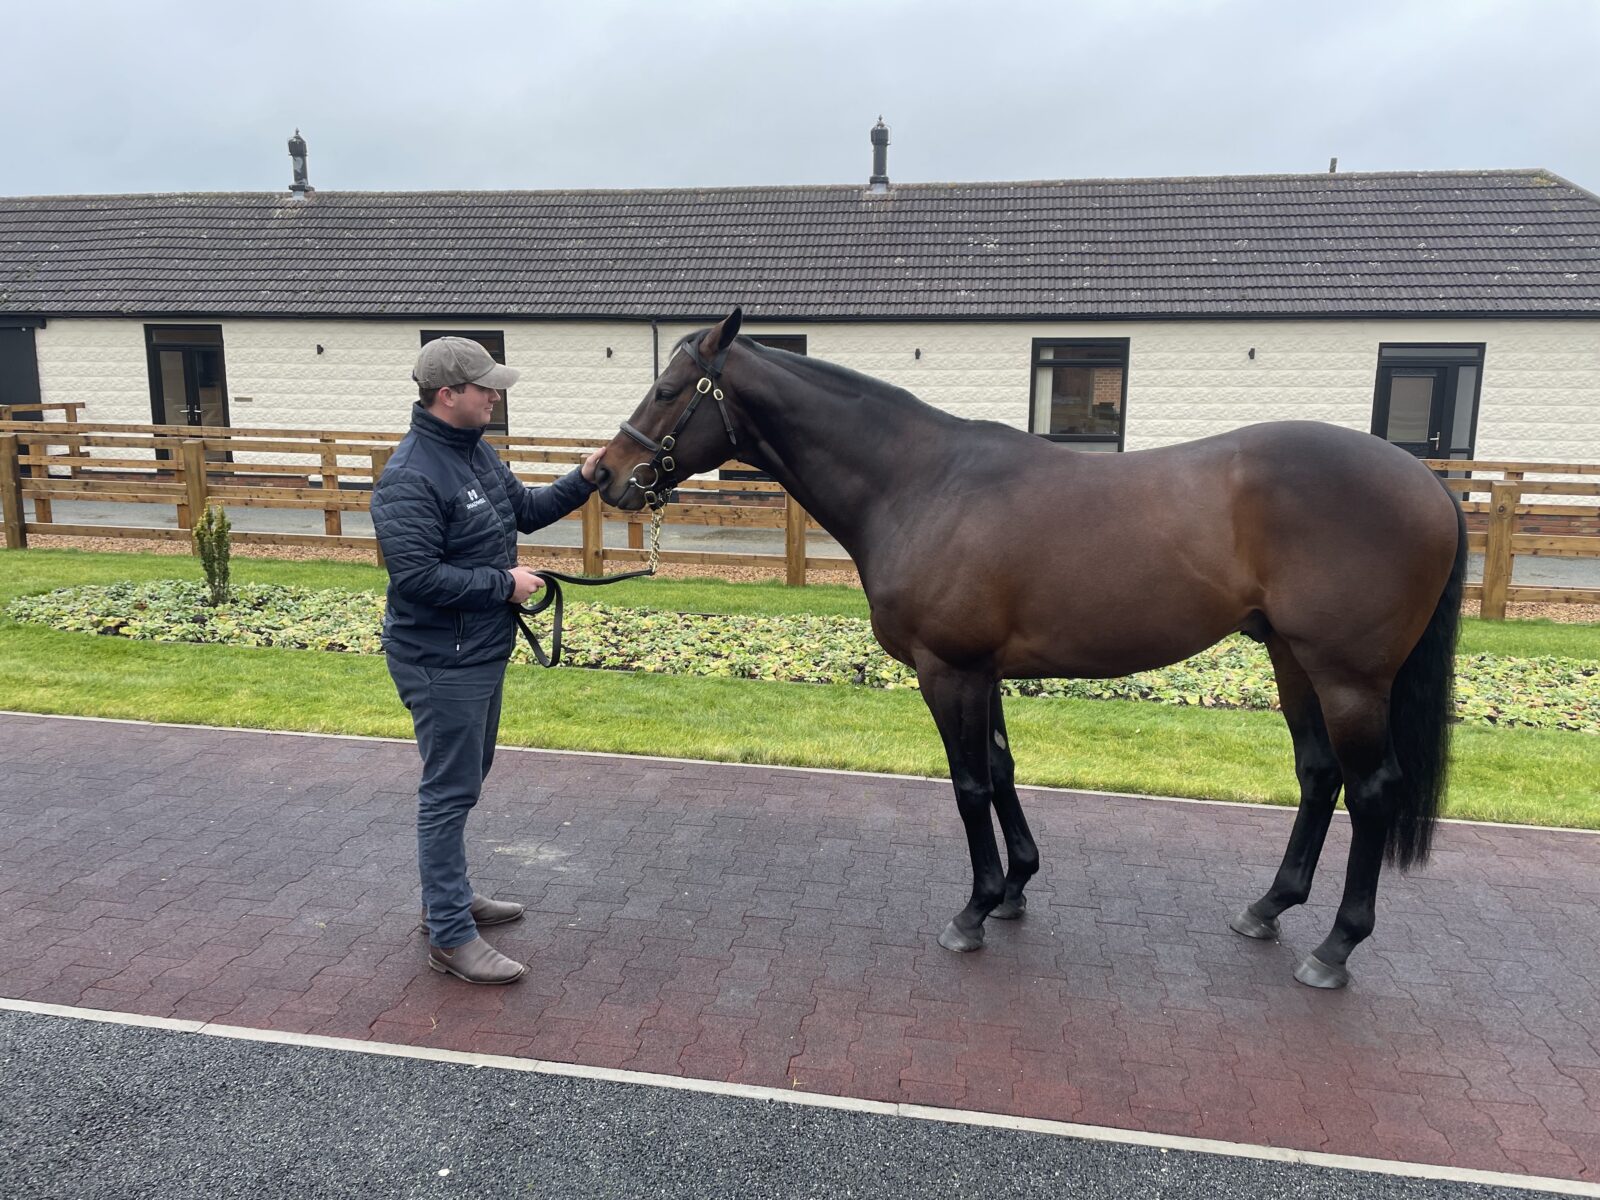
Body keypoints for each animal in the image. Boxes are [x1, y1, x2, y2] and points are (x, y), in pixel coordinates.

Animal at [591, 308, 1466, 990]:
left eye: (668, 390)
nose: (606, 474)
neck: (921, 483)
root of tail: (1427, 480)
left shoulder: (950, 672)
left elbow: (970, 783)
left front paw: (974, 909)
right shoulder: (986, 673)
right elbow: (1004, 770)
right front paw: (1015, 888)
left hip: (1350, 677)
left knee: (1373, 790)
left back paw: (1336, 947)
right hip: (1292, 660)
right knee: (1319, 776)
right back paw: (1268, 908)